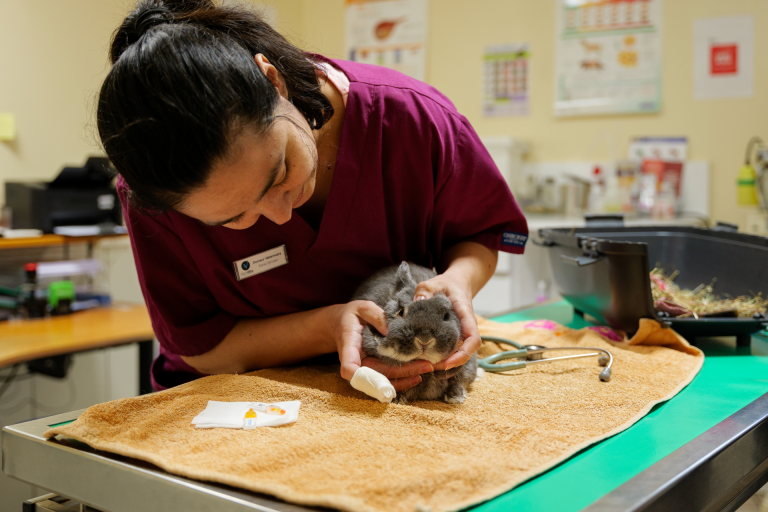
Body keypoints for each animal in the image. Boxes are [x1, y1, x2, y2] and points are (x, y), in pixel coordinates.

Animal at [351, 261, 477, 405]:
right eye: (400, 312)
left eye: (446, 315)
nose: (424, 340)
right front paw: (397, 399)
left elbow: (458, 381)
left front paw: (455, 397)